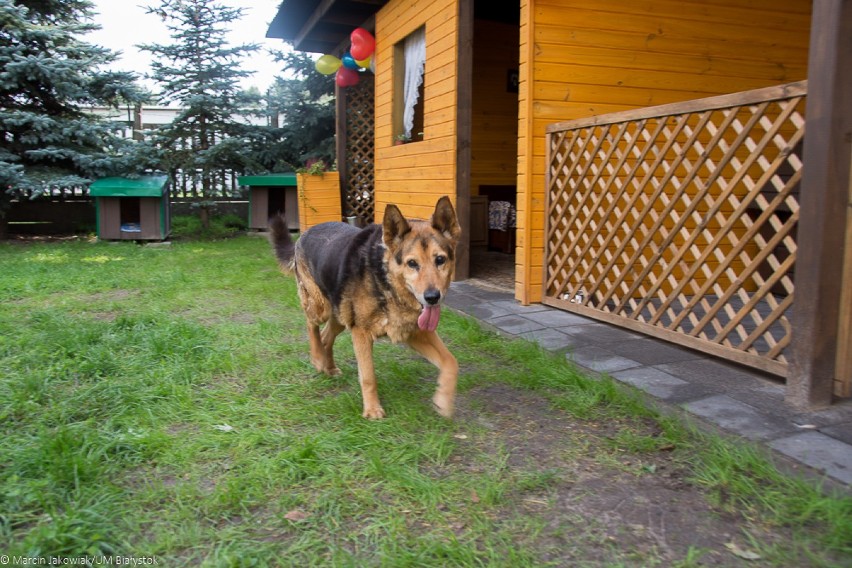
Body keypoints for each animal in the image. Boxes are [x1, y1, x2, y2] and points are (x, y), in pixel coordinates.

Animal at [270, 197, 462, 420]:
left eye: (440, 260)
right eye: (412, 263)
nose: (432, 298)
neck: (386, 282)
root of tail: (305, 233)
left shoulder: (415, 332)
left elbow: (451, 361)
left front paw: (443, 401)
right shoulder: (361, 333)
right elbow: (369, 376)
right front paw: (372, 409)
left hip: (340, 315)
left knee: (326, 336)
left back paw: (329, 367)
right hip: (321, 308)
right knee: (311, 325)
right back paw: (317, 358)